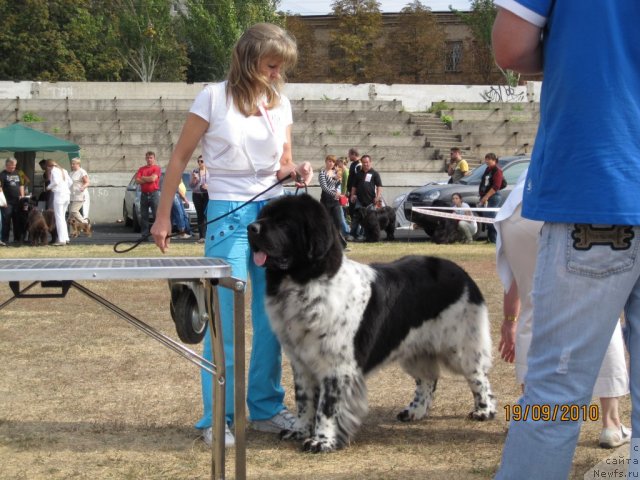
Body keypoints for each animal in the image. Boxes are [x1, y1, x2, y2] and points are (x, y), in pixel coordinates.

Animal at [246, 193, 496, 452]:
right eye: (264, 216)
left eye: (284, 223)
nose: (250, 228)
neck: (306, 282)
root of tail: (462, 274)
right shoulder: (301, 362)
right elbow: (304, 400)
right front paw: (299, 430)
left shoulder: (337, 366)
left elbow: (327, 407)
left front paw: (321, 440)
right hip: (415, 349)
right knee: (428, 380)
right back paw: (414, 411)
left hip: (460, 346)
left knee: (479, 376)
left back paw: (484, 410)